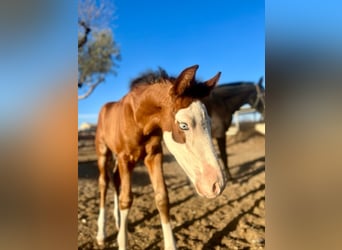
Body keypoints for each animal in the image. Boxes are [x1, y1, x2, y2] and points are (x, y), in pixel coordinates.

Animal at [95, 65, 227, 249]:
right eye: (184, 125)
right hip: (103, 152)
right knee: (104, 183)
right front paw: (122, 242)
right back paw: (101, 234)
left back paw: (118, 221)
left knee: (115, 179)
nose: (216, 185)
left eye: (208, 121)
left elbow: (162, 197)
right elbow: (126, 199)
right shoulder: (125, 158)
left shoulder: (154, 155)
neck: (137, 120)